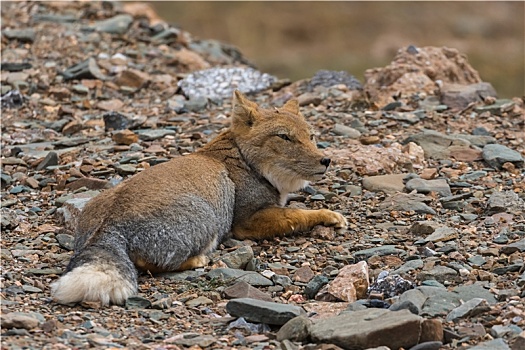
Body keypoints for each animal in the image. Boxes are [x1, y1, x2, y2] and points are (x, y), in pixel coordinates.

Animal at [50, 91, 348, 306]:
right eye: (285, 137)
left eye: (312, 137)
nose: (326, 160)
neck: (243, 160)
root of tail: (108, 223)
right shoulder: (247, 221)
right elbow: (297, 213)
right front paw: (329, 216)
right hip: (208, 219)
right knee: (153, 265)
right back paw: (198, 261)